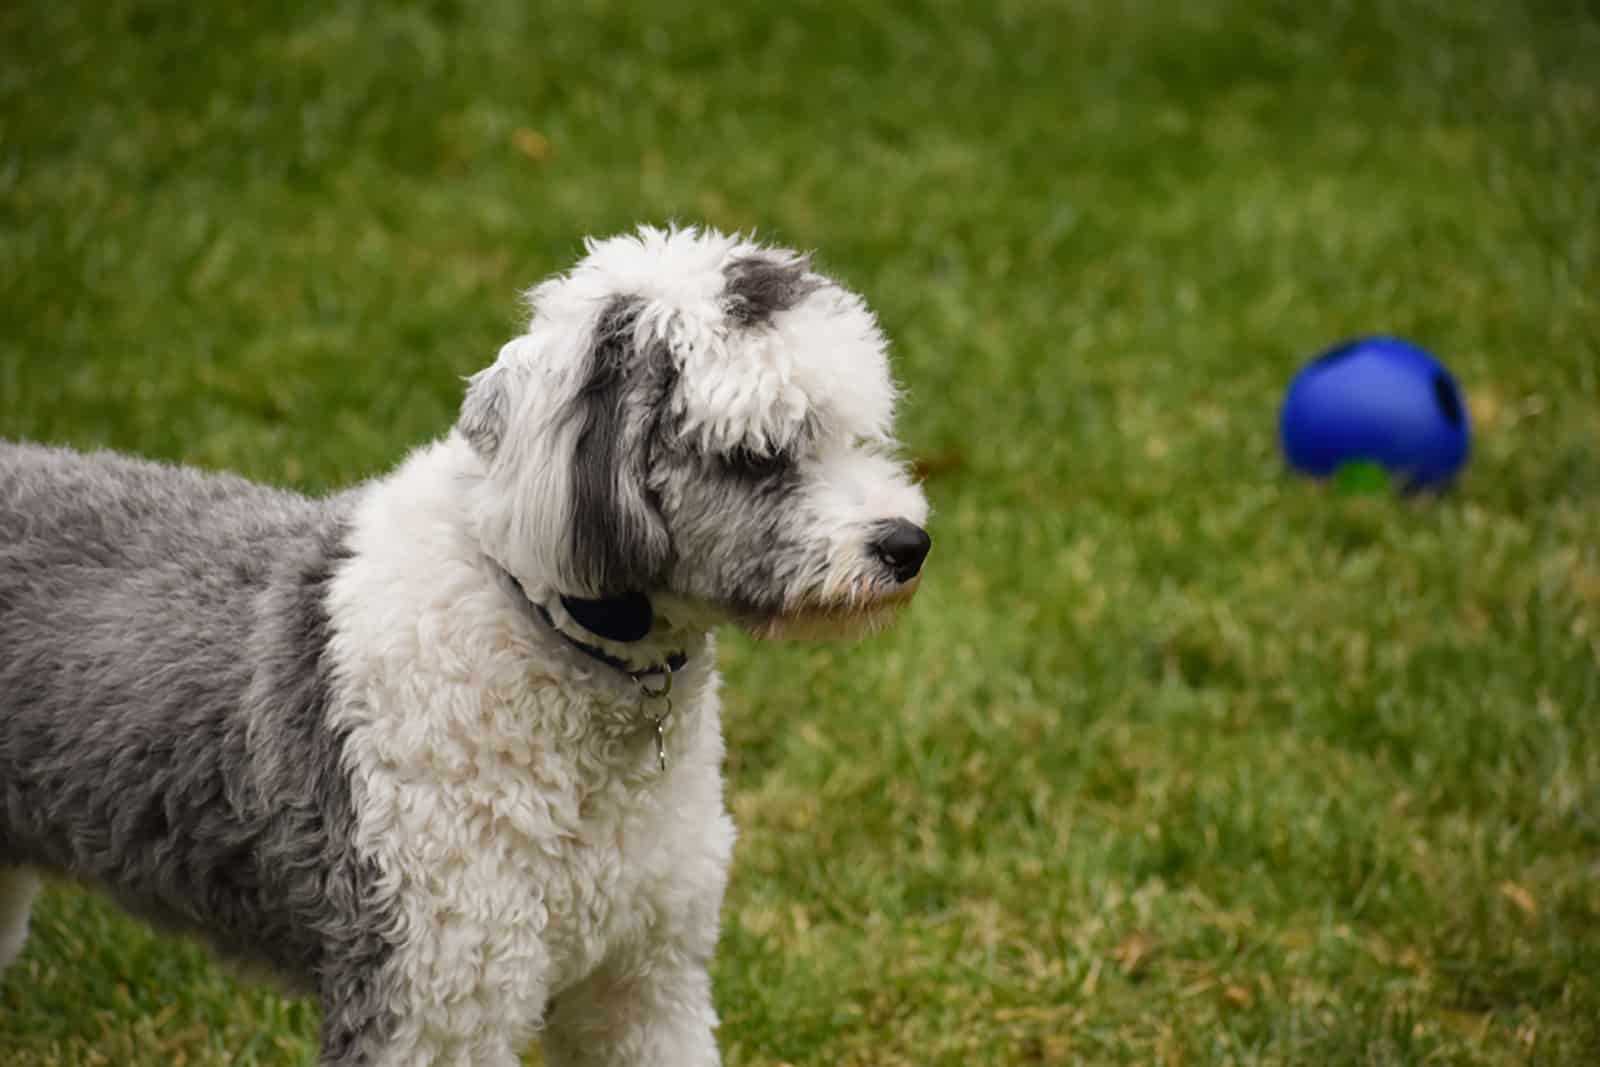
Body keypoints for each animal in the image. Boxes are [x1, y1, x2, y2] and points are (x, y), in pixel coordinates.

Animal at [0, 227, 934, 1067]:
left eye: (857, 431)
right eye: (758, 454)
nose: (908, 544)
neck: (541, 619)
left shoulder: (643, 981)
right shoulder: (431, 993)